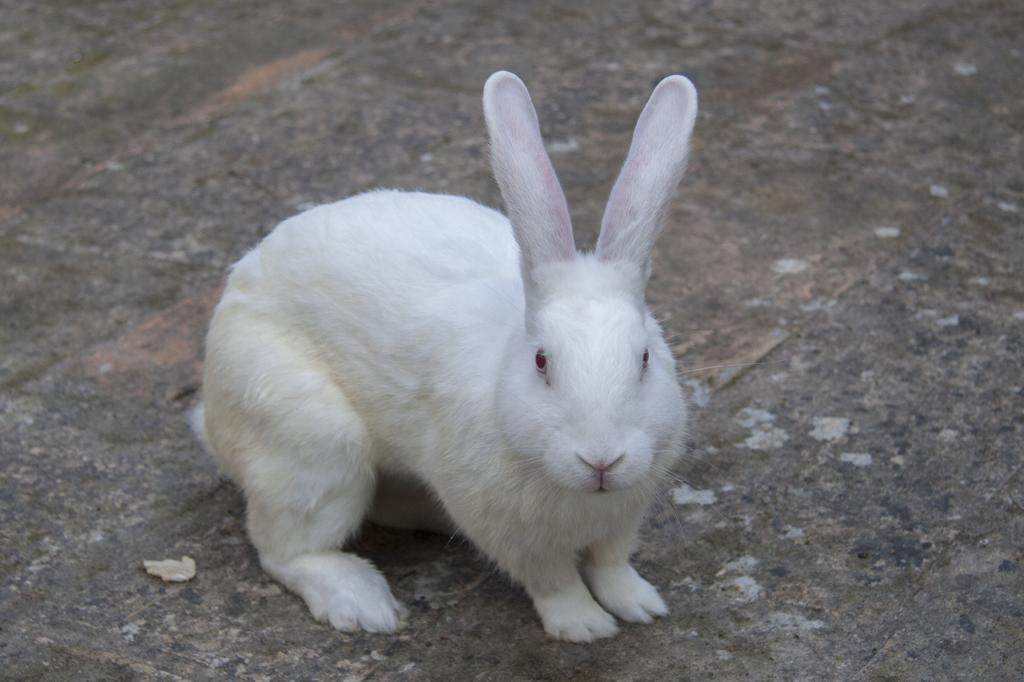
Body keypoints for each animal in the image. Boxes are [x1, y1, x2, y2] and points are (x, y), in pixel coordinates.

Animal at [193, 71, 696, 638]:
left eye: (645, 359)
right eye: (542, 362)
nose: (602, 460)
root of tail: (211, 414)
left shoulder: (621, 520)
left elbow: (612, 565)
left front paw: (641, 605)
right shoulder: (511, 534)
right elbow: (554, 581)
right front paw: (585, 627)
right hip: (312, 445)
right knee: (284, 550)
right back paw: (363, 603)